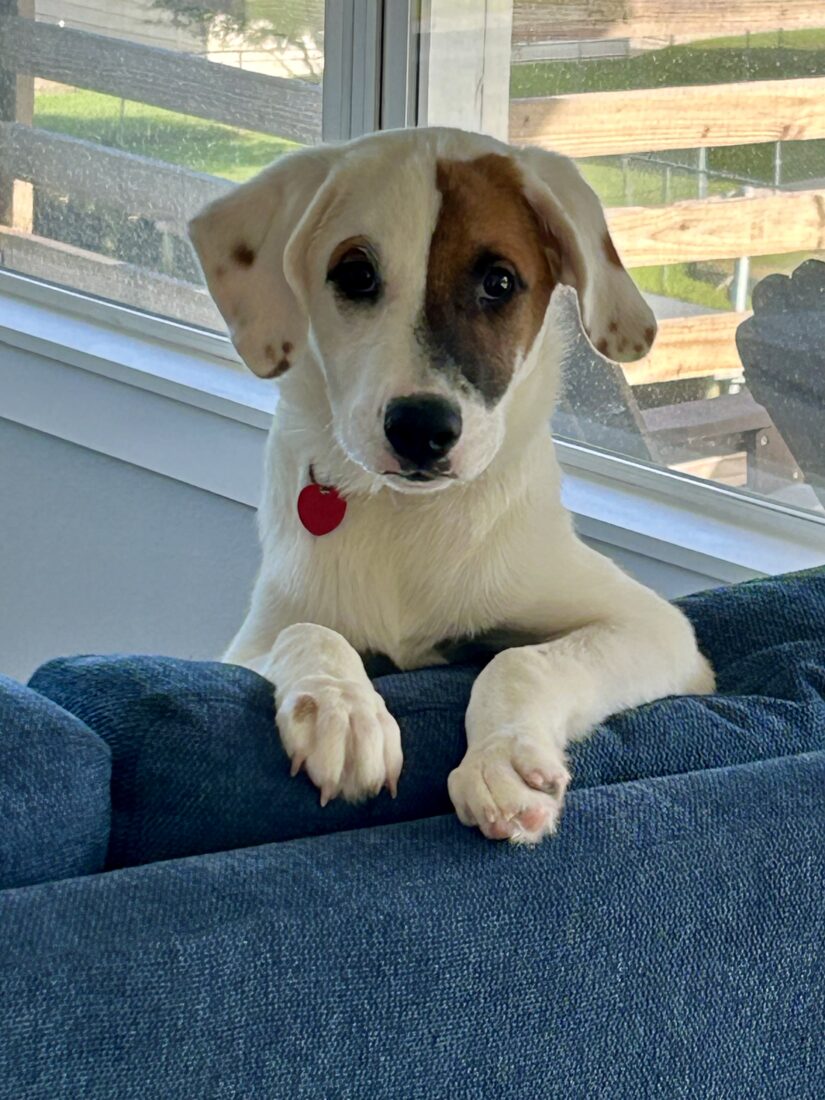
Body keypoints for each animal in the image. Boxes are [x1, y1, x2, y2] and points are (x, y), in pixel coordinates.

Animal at [190, 124, 712, 840]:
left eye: (500, 281)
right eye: (355, 274)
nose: (421, 429)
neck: (404, 519)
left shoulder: (657, 629)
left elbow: (516, 659)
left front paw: (504, 757)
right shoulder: (248, 644)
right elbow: (311, 632)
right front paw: (343, 708)